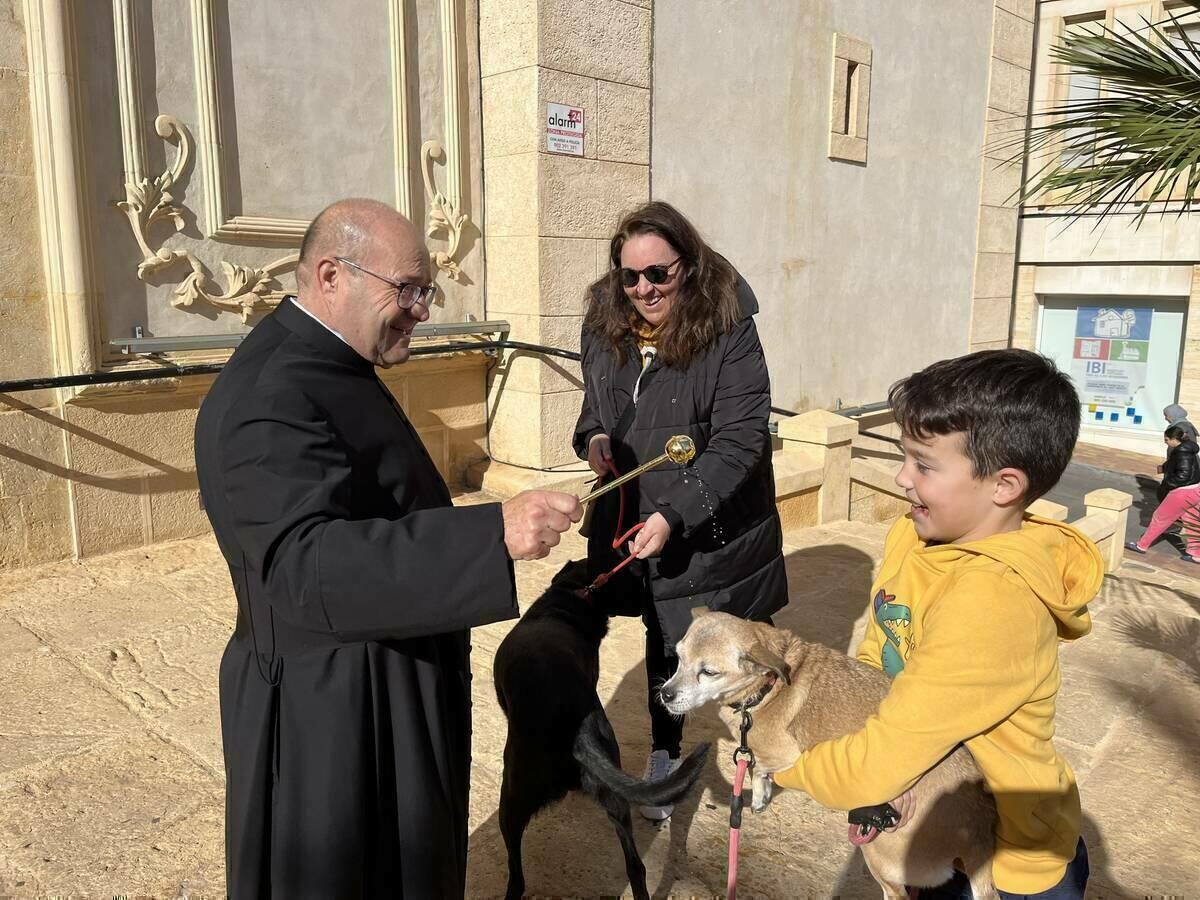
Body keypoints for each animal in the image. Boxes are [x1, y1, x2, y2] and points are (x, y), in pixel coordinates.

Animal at [489, 561, 705, 897]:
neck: (571, 598)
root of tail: (577, 732)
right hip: (616, 801)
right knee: (636, 867)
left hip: (510, 801)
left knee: (517, 877)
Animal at [662, 609, 998, 897]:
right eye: (677, 658)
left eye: (709, 672)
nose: (665, 694)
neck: (768, 687)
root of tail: (979, 832)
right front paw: (761, 796)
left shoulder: (788, 756)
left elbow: (758, 767)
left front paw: (759, 792)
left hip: (878, 850)